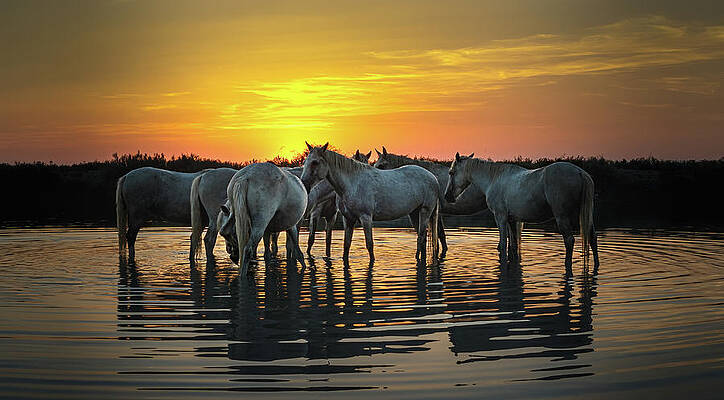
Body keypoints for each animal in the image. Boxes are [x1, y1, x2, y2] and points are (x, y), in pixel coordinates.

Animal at [301, 142, 439, 265]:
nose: (303, 183)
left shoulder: (366, 218)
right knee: (422, 238)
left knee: (421, 237)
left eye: (315, 162)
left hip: (425, 211)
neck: (353, 183)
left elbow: (369, 245)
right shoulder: (348, 219)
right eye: (305, 161)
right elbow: (346, 246)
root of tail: (433, 177)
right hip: (414, 213)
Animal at [443, 153, 599, 271]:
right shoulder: (512, 220)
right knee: (592, 238)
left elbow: (502, 245)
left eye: (451, 172)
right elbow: (513, 246)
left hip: (562, 217)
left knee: (569, 240)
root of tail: (580, 172)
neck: (493, 179)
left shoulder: (500, 218)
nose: (447, 196)